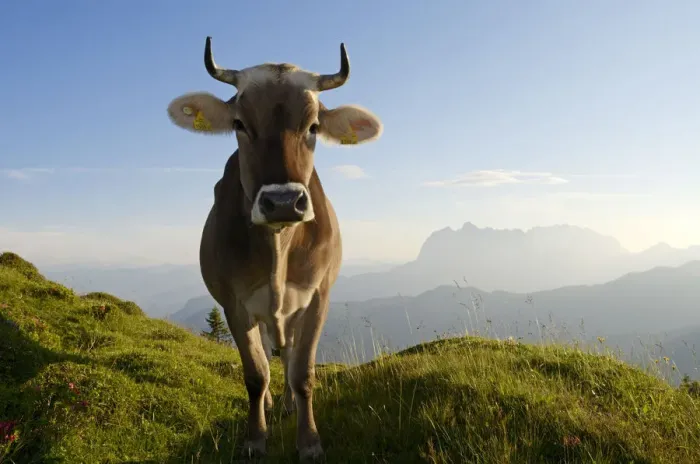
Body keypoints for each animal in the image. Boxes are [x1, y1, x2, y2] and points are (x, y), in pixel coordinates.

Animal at [166, 37, 383, 461]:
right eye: (239, 124)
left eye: (313, 126)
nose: (283, 202)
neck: (279, 248)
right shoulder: (234, 303)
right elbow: (254, 372)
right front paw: (255, 437)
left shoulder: (317, 297)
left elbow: (302, 372)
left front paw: (309, 440)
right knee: (268, 355)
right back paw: (268, 403)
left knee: (288, 351)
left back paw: (284, 403)